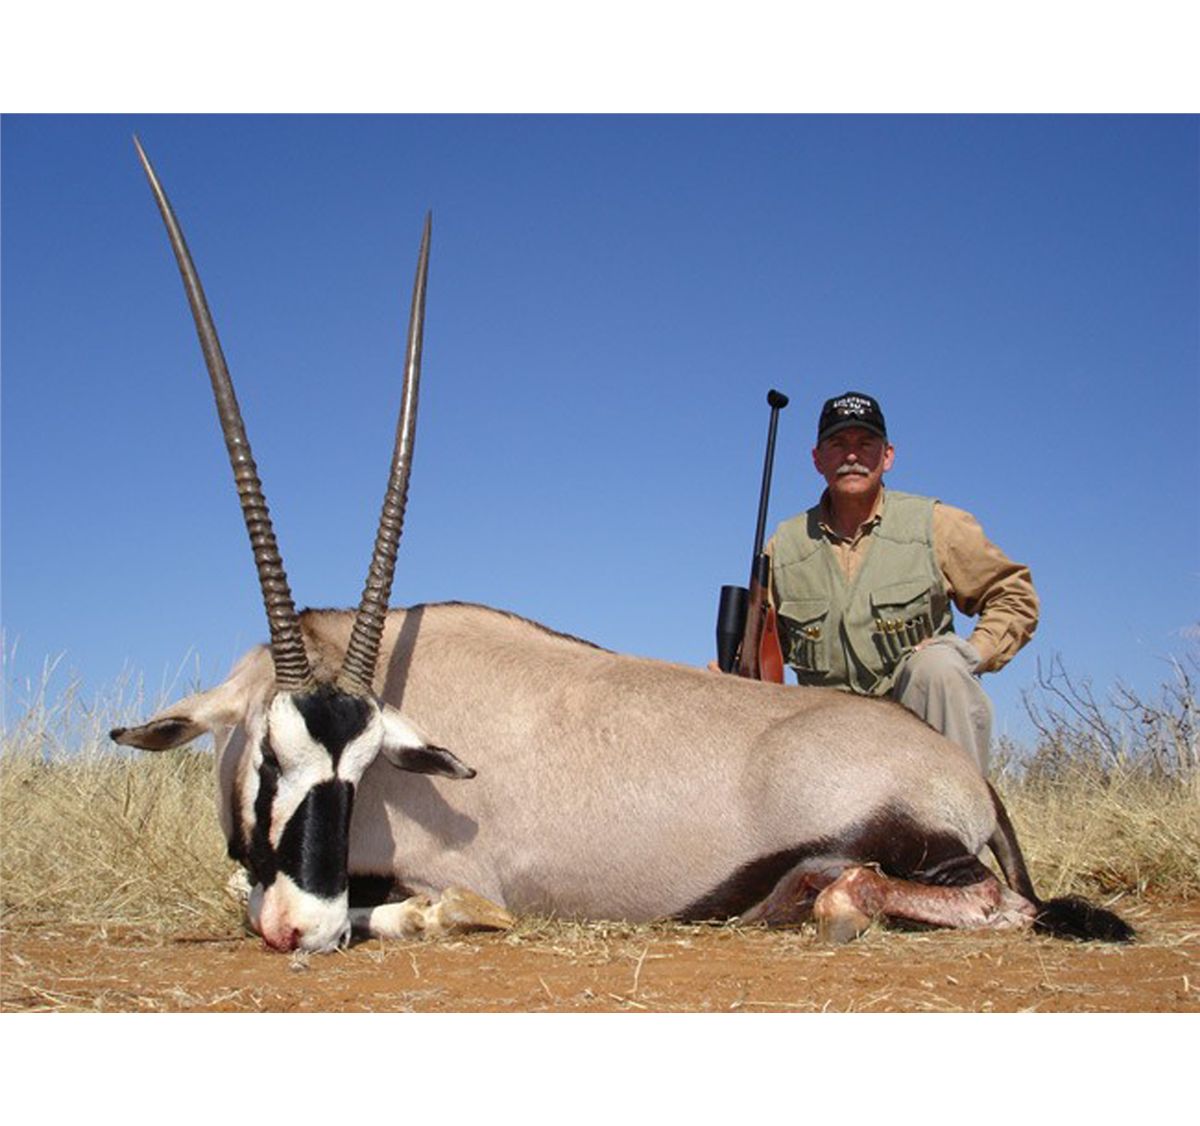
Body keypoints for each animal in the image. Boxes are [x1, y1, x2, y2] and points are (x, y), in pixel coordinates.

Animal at [113, 139, 1134, 953]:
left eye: (361, 772)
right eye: (271, 756)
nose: (305, 929)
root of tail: (963, 771)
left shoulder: (452, 877)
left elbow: (433, 906)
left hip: (923, 849)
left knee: (999, 906)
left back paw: (836, 900)